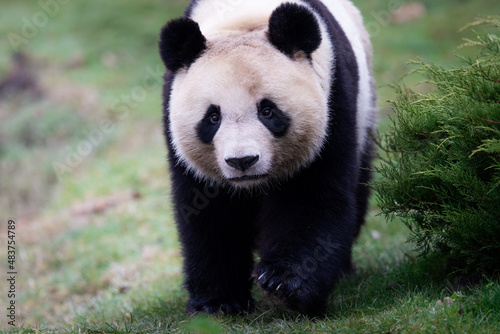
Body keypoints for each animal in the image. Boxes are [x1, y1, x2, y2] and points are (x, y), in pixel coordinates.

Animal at [159, 0, 376, 316]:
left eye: (267, 111)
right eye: (213, 117)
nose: (242, 161)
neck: (243, 18)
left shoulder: (334, 104)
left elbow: (311, 199)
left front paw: (284, 284)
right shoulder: (176, 125)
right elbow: (209, 215)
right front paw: (218, 302)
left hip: (365, 112)